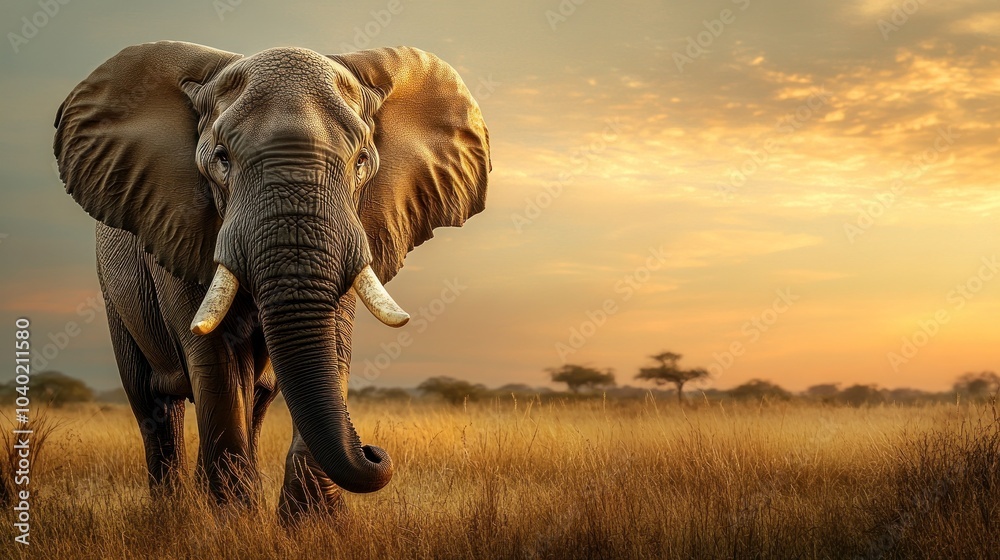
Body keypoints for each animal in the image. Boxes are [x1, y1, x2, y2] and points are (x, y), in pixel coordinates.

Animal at [52, 41, 490, 517]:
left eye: (361, 162)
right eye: (222, 159)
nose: (374, 450)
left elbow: (334, 347)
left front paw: (312, 524)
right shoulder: (179, 226)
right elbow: (218, 360)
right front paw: (234, 523)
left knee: (257, 403)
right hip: (114, 292)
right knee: (154, 405)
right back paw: (174, 514)